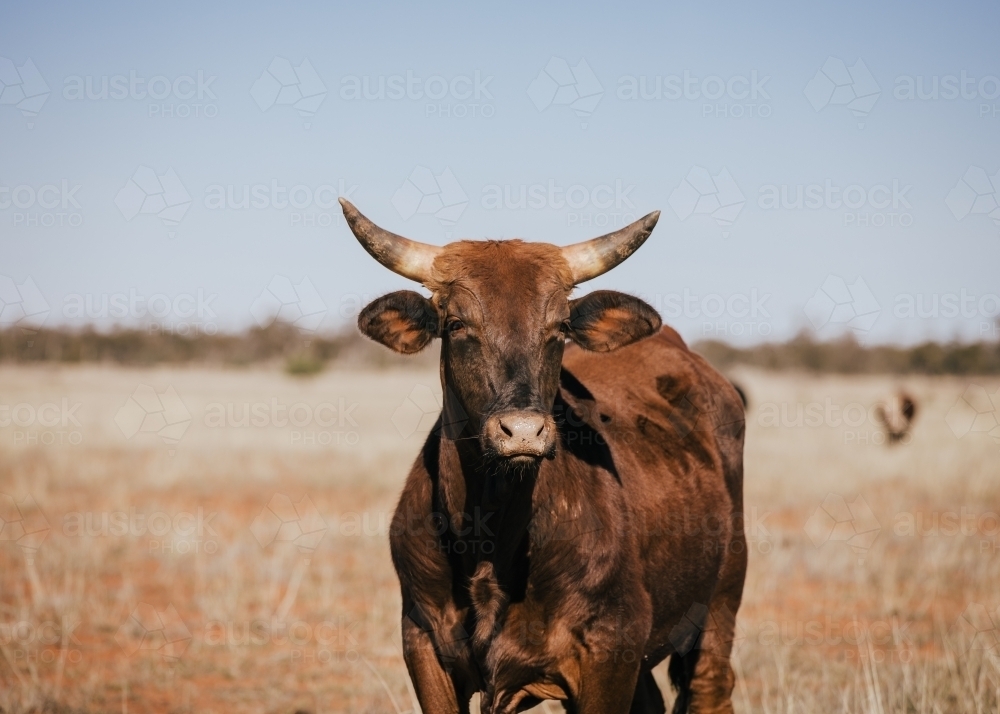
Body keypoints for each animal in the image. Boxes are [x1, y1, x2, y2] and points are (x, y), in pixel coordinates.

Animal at [340, 199, 748, 712]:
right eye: (456, 324)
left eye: (559, 328)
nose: (523, 432)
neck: (491, 536)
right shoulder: (423, 645)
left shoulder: (610, 649)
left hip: (720, 605)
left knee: (710, 686)